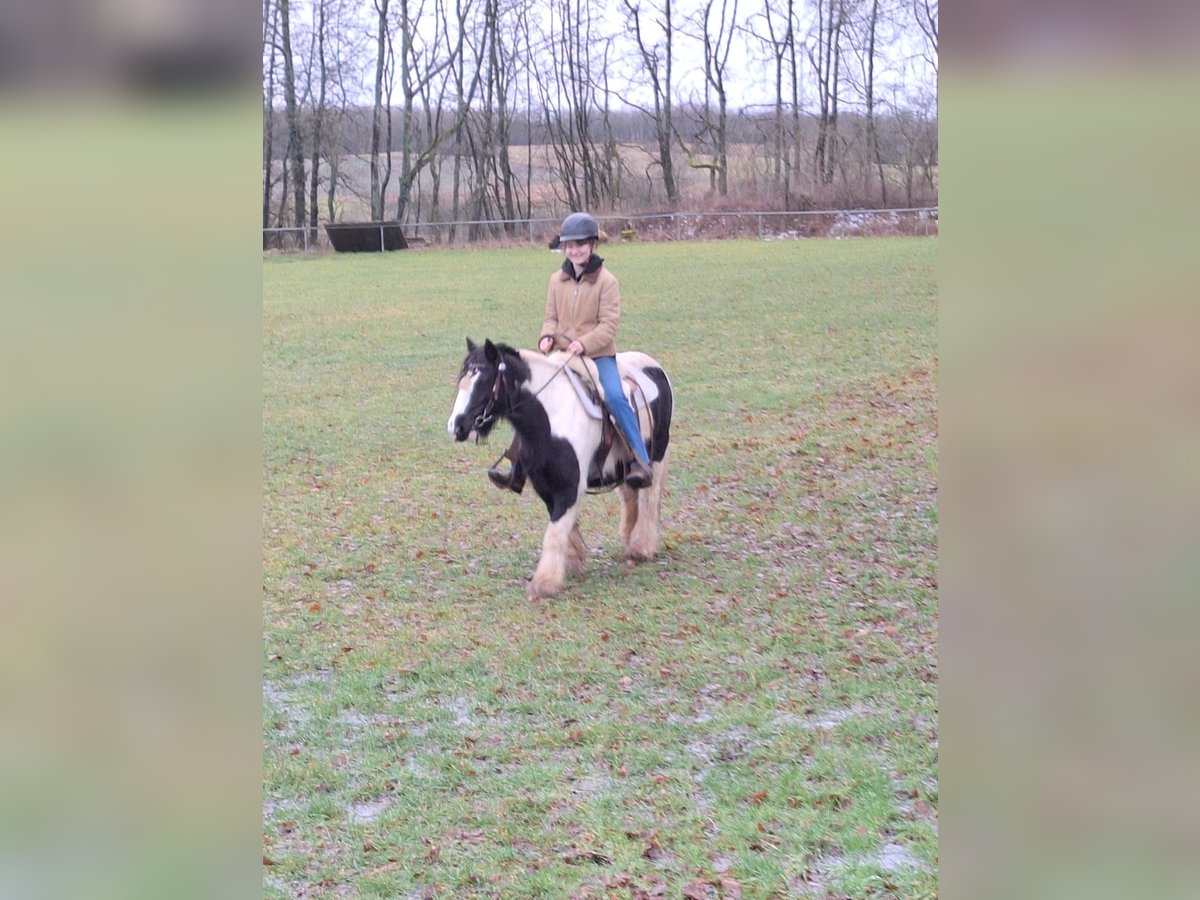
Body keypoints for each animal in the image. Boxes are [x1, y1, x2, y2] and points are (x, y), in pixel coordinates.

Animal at [447, 338, 673, 599]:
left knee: (648, 499)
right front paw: (571, 563)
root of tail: (654, 366)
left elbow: (555, 533)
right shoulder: (546, 485)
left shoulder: (570, 486)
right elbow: (564, 528)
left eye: (483, 379)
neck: (552, 417)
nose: (456, 426)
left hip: (656, 458)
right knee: (630, 498)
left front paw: (545, 583)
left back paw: (641, 548)